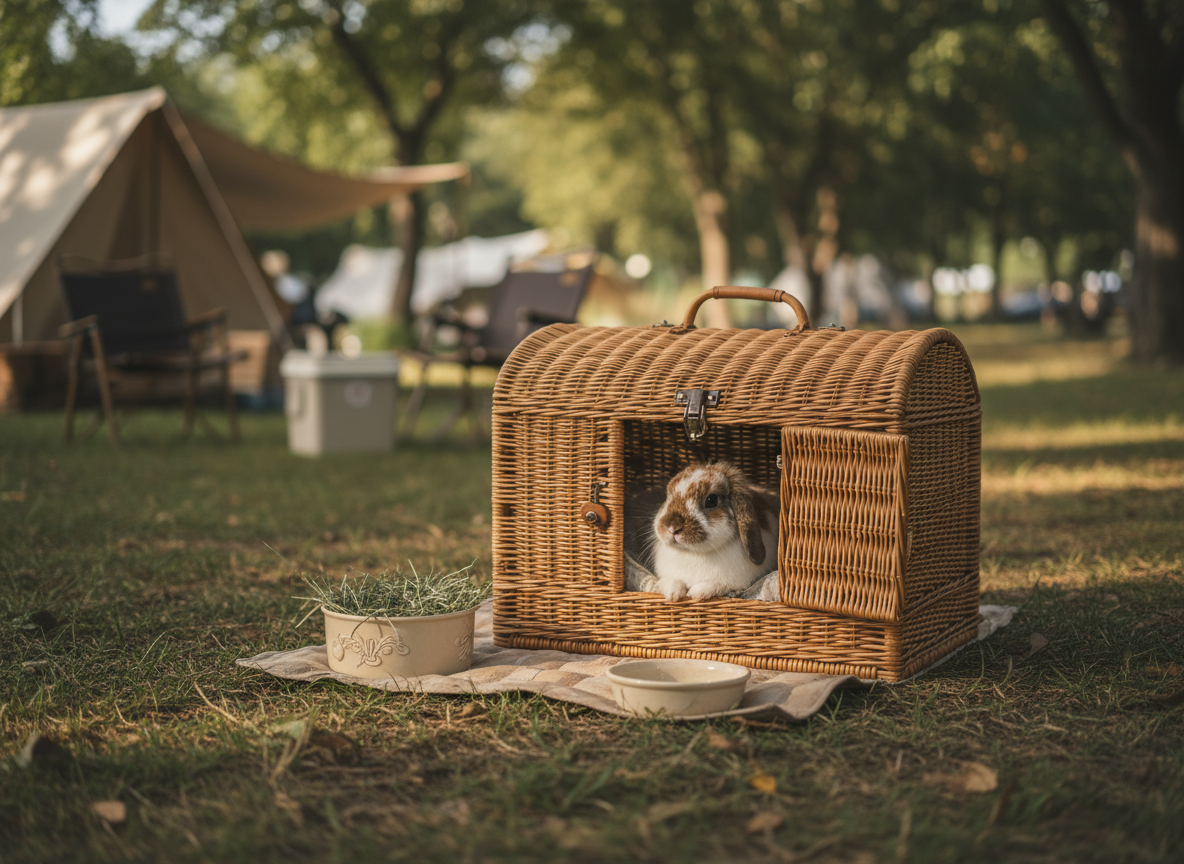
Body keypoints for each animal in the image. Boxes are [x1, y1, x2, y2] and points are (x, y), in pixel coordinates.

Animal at [651, 461, 779, 601]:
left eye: (711, 500)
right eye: (668, 496)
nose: (671, 528)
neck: (695, 553)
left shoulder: (732, 583)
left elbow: (715, 585)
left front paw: (695, 593)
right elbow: (671, 581)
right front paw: (673, 594)